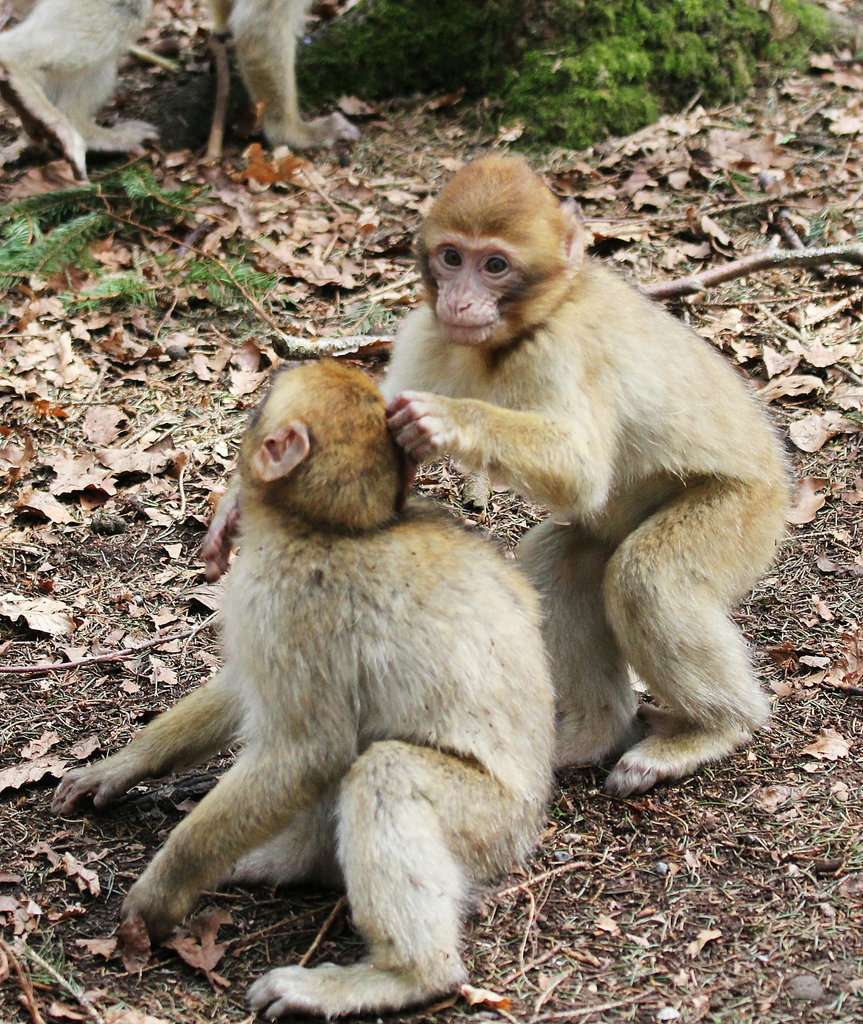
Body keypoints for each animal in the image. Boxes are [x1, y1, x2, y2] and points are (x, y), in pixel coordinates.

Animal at [54, 360, 556, 1015]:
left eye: (258, 410)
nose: (247, 413)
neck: (321, 527)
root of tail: (531, 824)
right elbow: (244, 690)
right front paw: (121, 766)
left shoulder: (290, 596)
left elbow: (306, 755)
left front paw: (160, 894)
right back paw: (283, 862)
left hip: (491, 825)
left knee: (383, 770)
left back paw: (405, 975)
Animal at [389, 155, 794, 802]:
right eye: (452, 257)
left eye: (494, 265)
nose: (460, 299)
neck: (508, 340)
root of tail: (781, 475)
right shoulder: (427, 333)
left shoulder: (557, 350)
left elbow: (581, 473)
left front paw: (446, 420)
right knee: (561, 560)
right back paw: (597, 732)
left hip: (747, 512)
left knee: (645, 579)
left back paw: (713, 730)